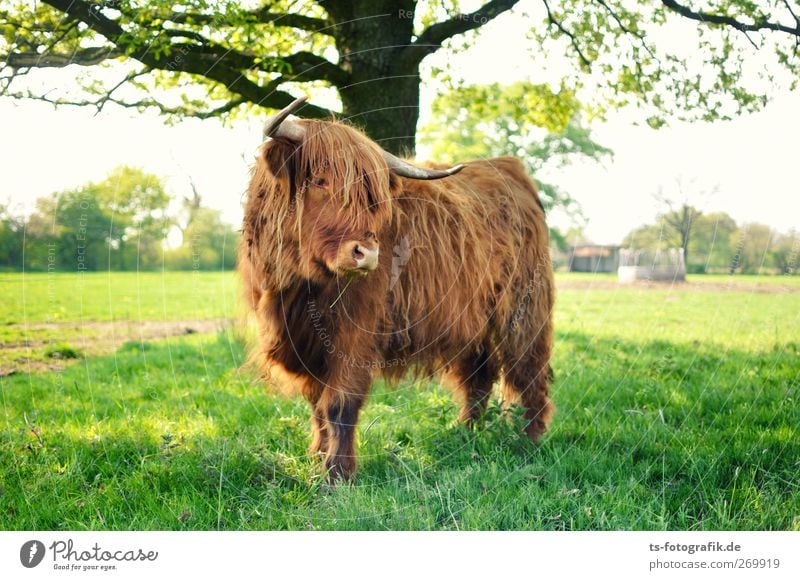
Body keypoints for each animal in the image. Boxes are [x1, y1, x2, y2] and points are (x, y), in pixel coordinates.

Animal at [239, 96, 556, 480]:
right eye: (319, 180)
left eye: (369, 196)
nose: (367, 253)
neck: (300, 286)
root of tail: (509, 169)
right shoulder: (305, 343)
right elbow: (317, 404)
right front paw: (316, 458)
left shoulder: (356, 334)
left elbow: (340, 403)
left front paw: (338, 474)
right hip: (470, 318)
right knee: (477, 377)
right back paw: (466, 434)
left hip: (524, 309)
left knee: (529, 370)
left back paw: (530, 441)